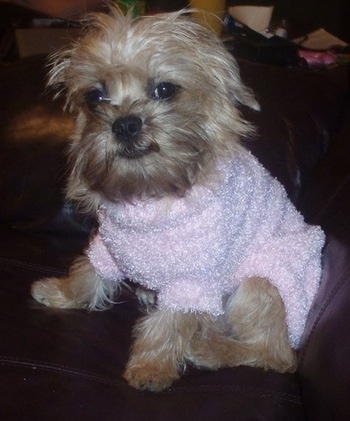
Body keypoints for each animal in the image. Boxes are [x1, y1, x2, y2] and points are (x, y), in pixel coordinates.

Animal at [31, 5, 324, 390]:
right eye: (94, 97)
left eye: (165, 89)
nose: (125, 124)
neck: (152, 196)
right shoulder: (107, 248)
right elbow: (88, 274)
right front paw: (60, 292)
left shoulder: (192, 279)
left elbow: (169, 323)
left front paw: (150, 368)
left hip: (262, 281)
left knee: (273, 355)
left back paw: (209, 349)